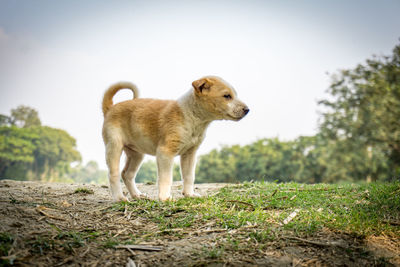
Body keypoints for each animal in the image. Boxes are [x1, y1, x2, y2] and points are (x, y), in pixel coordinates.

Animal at [101, 75, 248, 201]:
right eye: (227, 96)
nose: (247, 110)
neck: (192, 116)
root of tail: (110, 108)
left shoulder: (190, 154)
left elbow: (189, 176)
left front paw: (189, 194)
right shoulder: (165, 153)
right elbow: (166, 178)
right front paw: (165, 198)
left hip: (136, 154)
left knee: (127, 174)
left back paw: (137, 195)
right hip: (114, 147)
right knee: (113, 175)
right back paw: (119, 198)